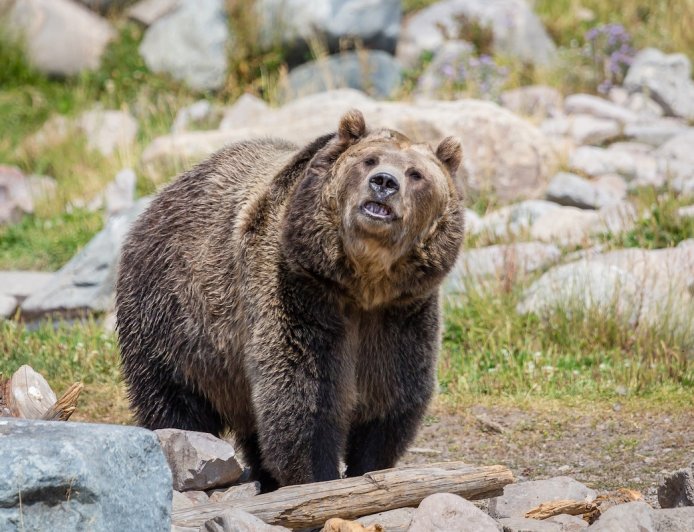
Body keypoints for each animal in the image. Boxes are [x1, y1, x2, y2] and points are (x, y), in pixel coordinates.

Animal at [116, 109, 465, 490]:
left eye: (416, 174)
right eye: (369, 160)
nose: (384, 182)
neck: (362, 284)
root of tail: (159, 197)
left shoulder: (400, 315)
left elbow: (390, 396)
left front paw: (367, 467)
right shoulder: (297, 292)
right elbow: (303, 397)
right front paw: (318, 476)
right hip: (173, 316)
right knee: (173, 399)